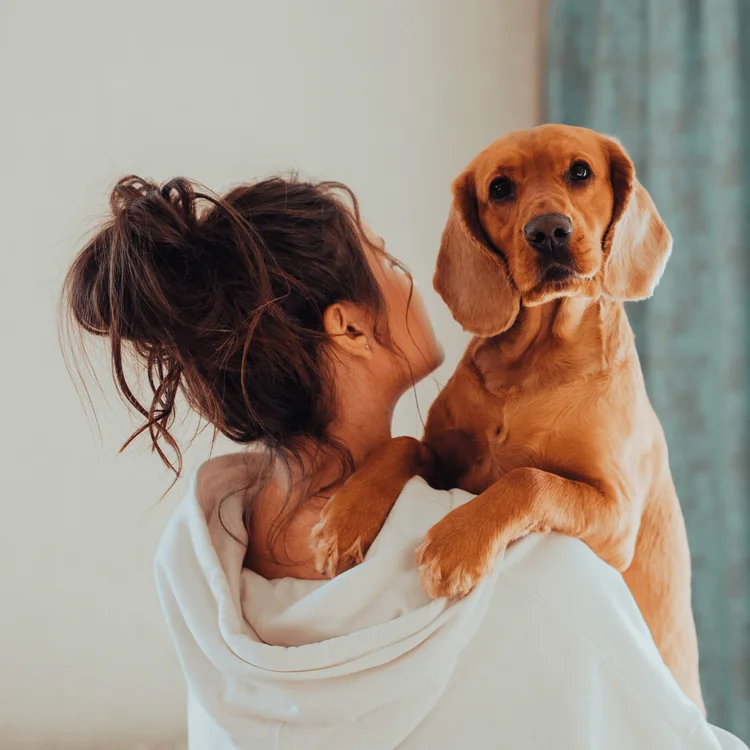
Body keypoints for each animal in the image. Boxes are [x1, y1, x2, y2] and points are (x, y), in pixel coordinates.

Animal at [310, 126, 704, 712]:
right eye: (499, 188)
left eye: (581, 172)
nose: (548, 231)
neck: (533, 366)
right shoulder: (443, 459)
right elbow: (401, 444)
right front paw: (345, 519)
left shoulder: (616, 515)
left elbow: (528, 479)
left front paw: (456, 542)